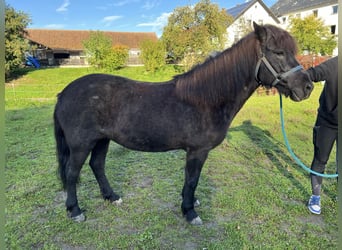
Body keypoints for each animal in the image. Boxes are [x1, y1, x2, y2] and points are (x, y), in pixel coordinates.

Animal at [53, 22, 312, 225]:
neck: (206, 99)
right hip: (81, 144)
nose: (307, 87)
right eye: (278, 52)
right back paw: (75, 210)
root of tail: (64, 93)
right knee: (72, 173)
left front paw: (190, 203)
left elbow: (191, 181)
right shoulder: (197, 150)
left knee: (97, 165)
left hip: (101, 140)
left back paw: (111, 196)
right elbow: (192, 180)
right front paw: (190, 211)